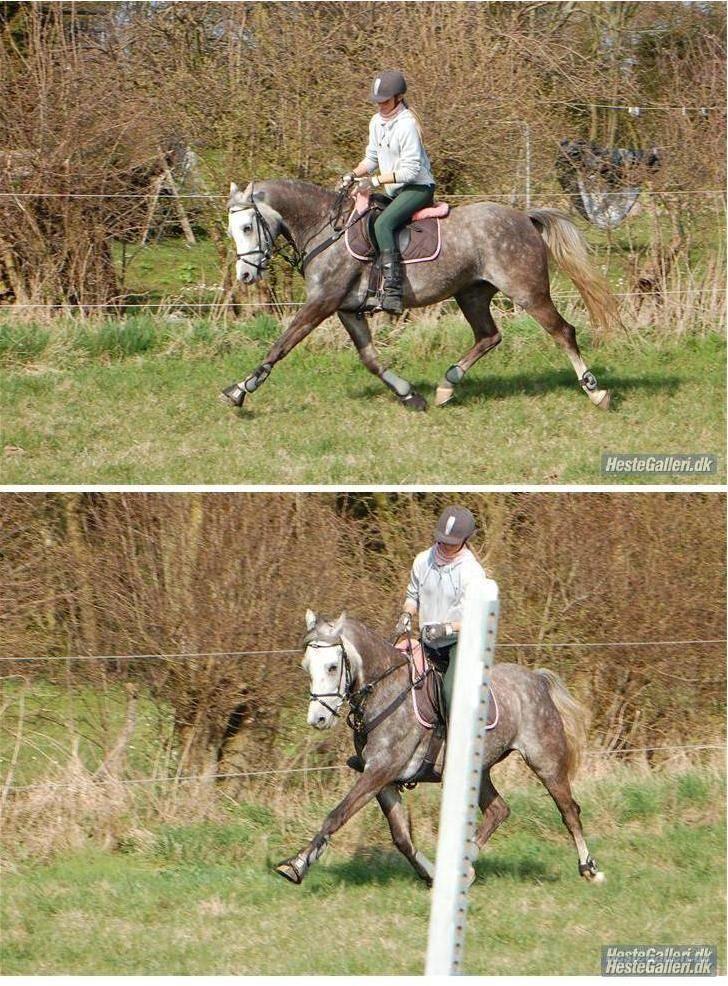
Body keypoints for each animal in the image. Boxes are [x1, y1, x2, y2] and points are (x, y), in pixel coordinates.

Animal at [223, 179, 620, 410]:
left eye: (247, 227)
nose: (245, 275)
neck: (326, 229)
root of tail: (524, 218)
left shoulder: (322, 303)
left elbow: (281, 344)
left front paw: (241, 389)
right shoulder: (347, 309)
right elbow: (370, 359)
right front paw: (409, 394)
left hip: (526, 291)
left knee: (562, 332)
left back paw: (596, 392)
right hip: (471, 294)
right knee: (488, 336)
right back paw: (447, 386)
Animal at [272, 612, 604, 888]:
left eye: (332, 666)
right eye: (306, 667)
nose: (318, 719)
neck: (386, 691)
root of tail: (536, 679)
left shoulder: (380, 770)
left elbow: (337, 814)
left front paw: (295, 865)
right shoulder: (383, 779)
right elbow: (402, 838)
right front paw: (431, 875)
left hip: (546, 761)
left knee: (568, 811)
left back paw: (589, 868)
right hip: (480, 770)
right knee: (499, 810)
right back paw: (464, 868)